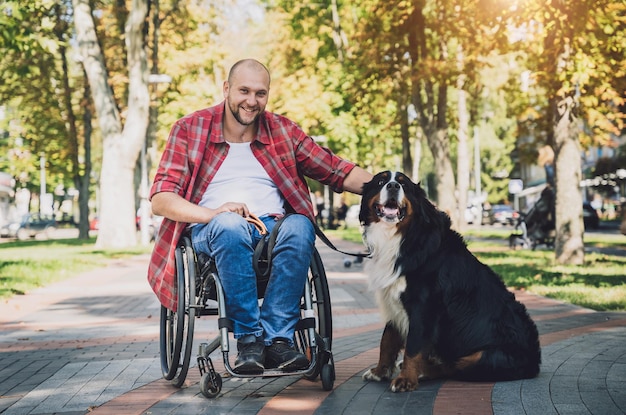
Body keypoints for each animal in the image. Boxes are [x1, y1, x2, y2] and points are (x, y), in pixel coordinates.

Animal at [358, 171, 540, 394]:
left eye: (403, 184)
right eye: (381, 181)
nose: (393, 186)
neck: (400, 237)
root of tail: (534, 361)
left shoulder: (423, 307)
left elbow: (413, 347)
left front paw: (406, 379)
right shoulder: (392, 298)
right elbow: (387, 340)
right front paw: (379, 371)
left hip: (483, 355)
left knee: (452, 367)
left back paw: (423, 371)